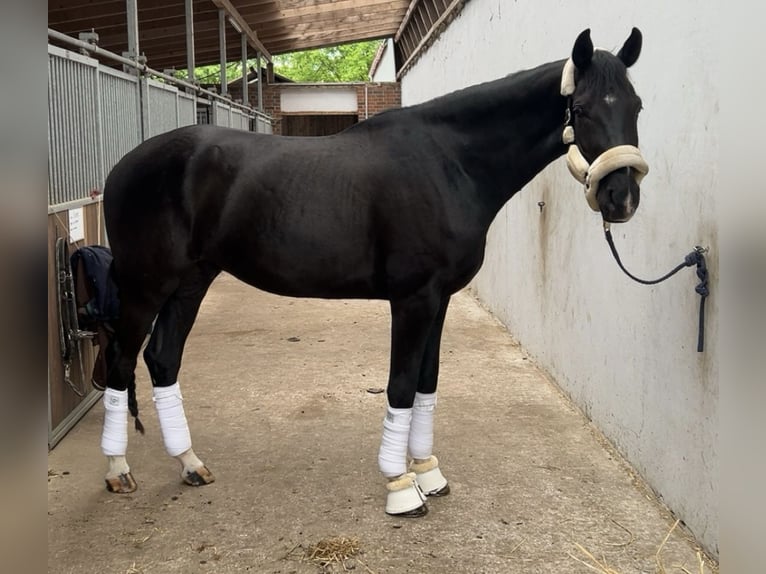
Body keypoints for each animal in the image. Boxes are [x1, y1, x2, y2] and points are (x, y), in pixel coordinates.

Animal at [99, 28, 647, 517]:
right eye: (583, 109)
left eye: (637, 105)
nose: (621, 199)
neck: (448, 163)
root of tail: (125, 164)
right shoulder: (413, 299)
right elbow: (400, 386)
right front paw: (401, 487)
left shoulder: (440, 299)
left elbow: (427, 382)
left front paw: (428, 471)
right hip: (146, 286)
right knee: (120, 362)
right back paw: (118, 470)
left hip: (191, 281)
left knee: (162, 358)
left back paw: (190, 464)